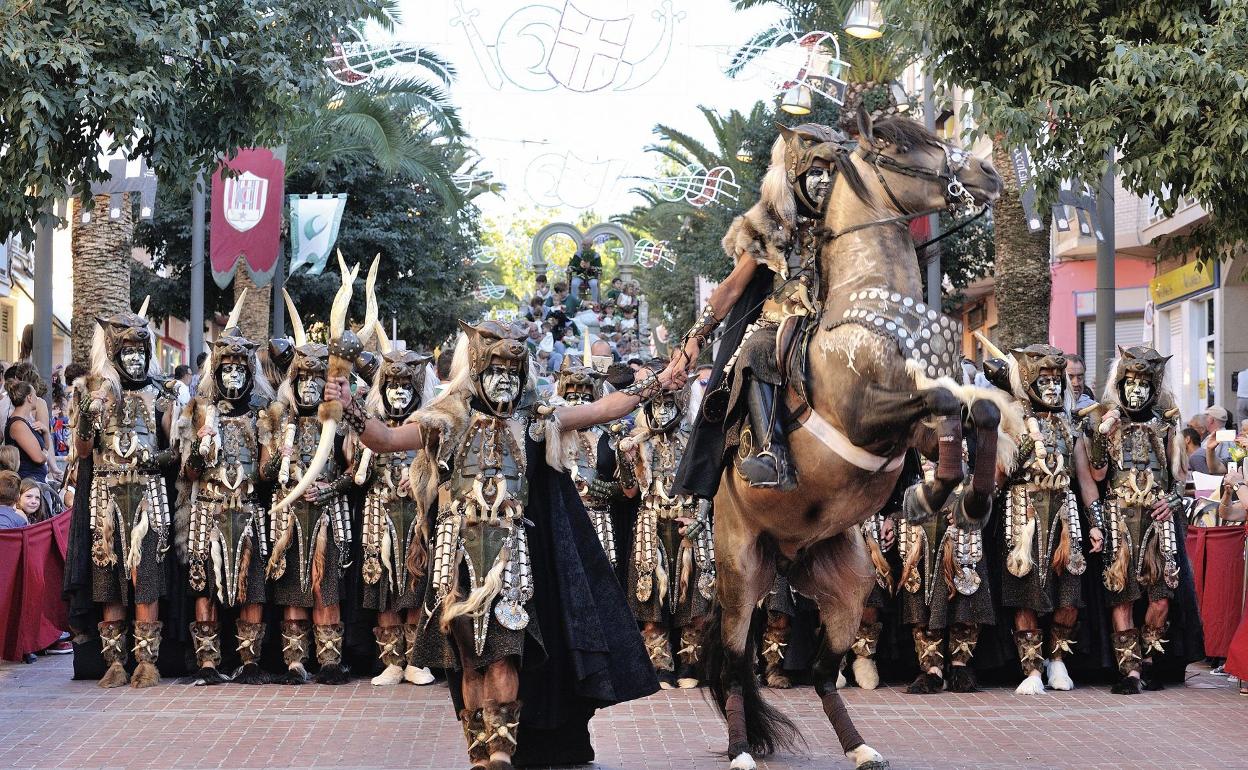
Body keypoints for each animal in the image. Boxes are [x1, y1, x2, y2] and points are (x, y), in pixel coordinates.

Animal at [708, 109, 1018, 768]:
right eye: (898, 145)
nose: (985, 171)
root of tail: (784, 555)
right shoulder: (866, 416)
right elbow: (948, 402)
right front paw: (932, 496)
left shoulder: (910, 430)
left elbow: (978, 411)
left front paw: (964, 497)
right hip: (740, 571)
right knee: (734, 663)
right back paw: (743, 750)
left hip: (848, 586)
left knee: (824, 673)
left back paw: (859, 748)